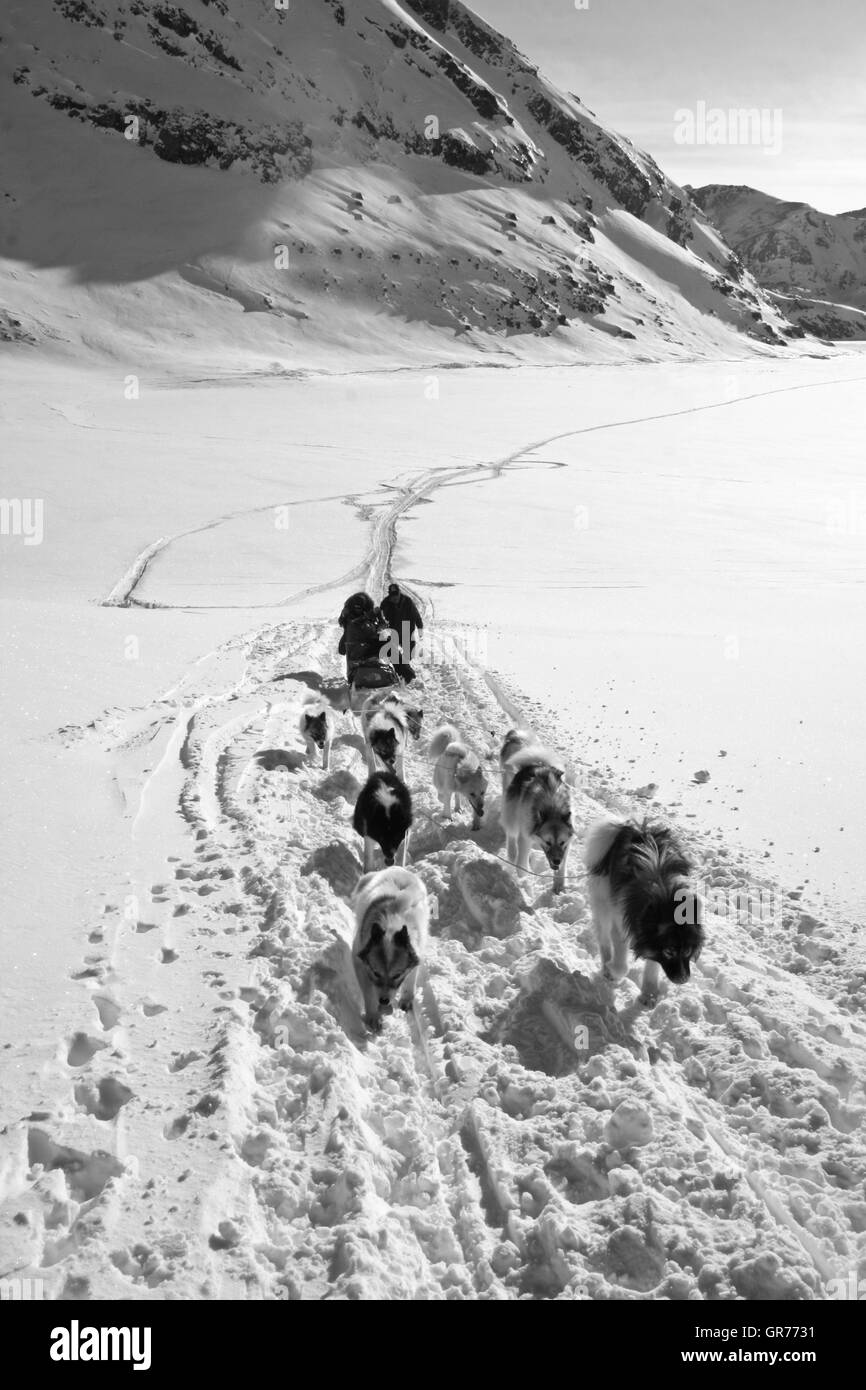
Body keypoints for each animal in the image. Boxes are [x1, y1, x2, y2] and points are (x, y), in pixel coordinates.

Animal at [353, 867, 430, 1034]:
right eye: (376, 973)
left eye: (397, 975)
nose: (384, 1000)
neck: (391, 928)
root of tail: (398, 868)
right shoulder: (359, 960)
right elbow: (369, 992)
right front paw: (373, 1017)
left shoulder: (417, 951)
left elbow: (411, 977)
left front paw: (406, 999)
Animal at [500, 750, 575, 889]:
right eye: (548, 842)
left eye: (562, 842)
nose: (557, 861)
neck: (553, 809)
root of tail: (536, 765)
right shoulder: (525, 837)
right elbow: (521, 864)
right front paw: (524, 881)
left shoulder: (567, 846)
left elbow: (562, 868)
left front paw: (559, 885)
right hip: (512, 817)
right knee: (511, 836)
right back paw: (512, 854)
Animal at [583, 817, 706, 1006]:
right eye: (669, 952)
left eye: (686, 951)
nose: (683, 980)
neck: (663, 896)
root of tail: (631, 829)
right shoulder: (621, 922)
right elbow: (622, 962)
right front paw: (612, 972)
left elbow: (652, 963)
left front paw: (649, 994)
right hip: (602, 902)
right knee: (603, 938)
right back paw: (605, 966)